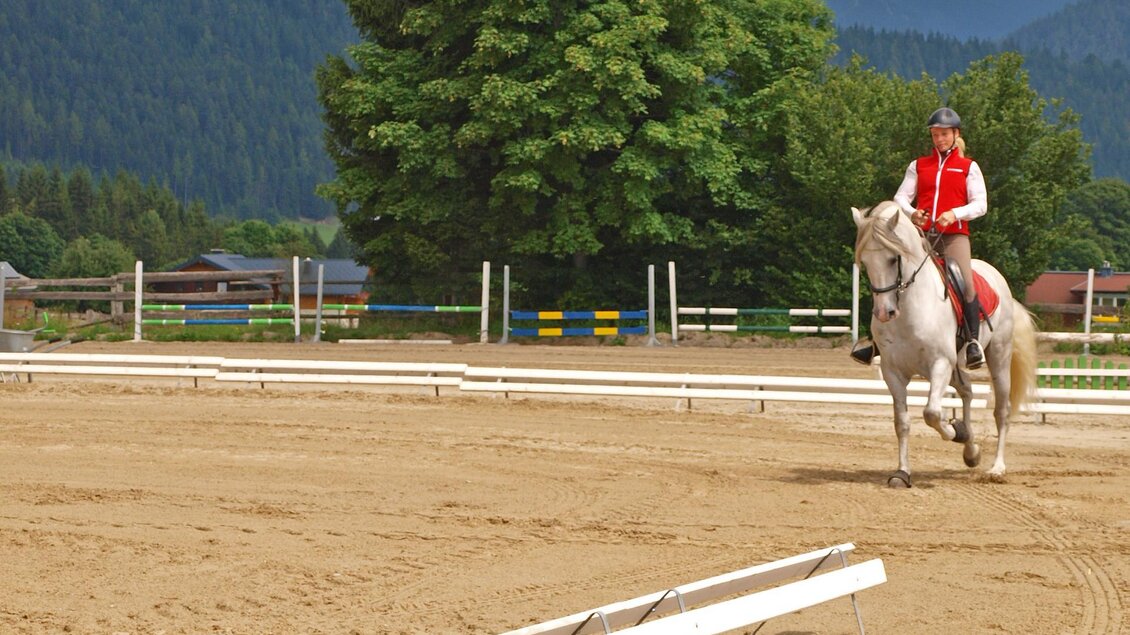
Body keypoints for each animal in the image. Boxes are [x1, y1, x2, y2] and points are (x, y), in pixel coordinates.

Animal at [851, 201, 1037, 487]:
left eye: (894, 258)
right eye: (865, 263)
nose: (885, 313)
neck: (909, 308)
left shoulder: (939, 363)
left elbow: (931, 413)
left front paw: (955, 431)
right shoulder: (893, 371)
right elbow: (902, 422)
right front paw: (902, 473)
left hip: (998, 358)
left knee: (1001, 411)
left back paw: (996, 467)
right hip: (955, 367)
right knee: (967, 391)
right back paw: (971, 450)